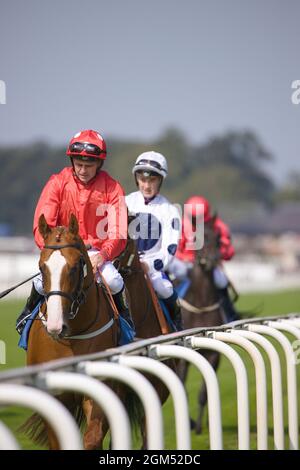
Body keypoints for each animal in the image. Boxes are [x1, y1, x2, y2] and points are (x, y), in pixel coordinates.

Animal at [22, 213, 120, 448]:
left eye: (76, 267)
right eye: (41, 267)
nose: (56, 326)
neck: (70, 339)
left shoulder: (99, 386)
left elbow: (92, 438)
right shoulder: (55, 395)